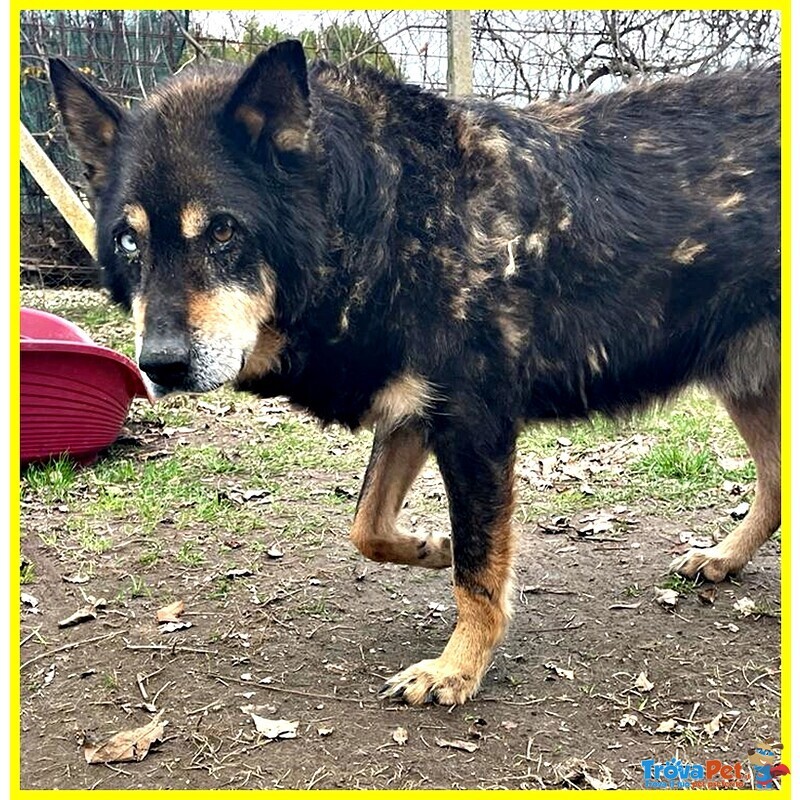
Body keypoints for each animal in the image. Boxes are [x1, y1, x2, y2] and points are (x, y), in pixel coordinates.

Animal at [50, 41, 780, 705]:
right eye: (128, 240)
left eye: (224, 231)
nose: (159, 364)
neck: (382, 219)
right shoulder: (413, 414)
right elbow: (368, 527)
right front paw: (432, 546)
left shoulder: (473, 427)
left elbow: (478, 570)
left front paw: (457, 669)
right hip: (746, 385)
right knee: (775, 487)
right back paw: (724, 557)